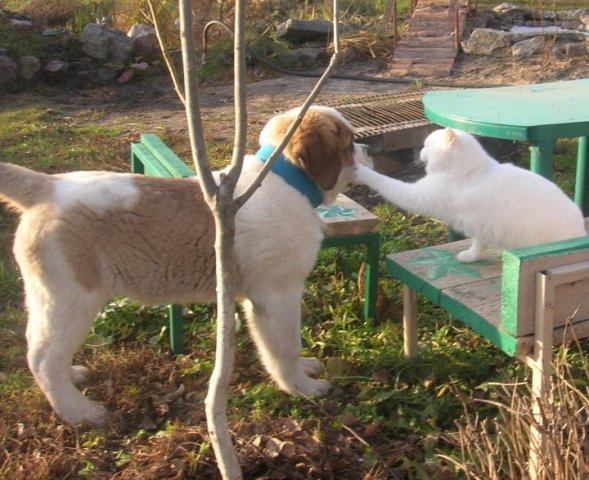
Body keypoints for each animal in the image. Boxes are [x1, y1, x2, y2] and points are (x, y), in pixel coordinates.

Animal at [0, 106, 372, 425]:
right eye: (349, 142)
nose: (368, 150)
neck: (287, 180)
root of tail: (47, 187)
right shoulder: (278, 296)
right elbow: (285, 348)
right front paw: (302, 388)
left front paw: (305, 372)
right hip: (71, 298)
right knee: (43, 358)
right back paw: (80, 412)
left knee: (43, 349)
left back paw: (73, 376)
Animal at [356, 127, 586, 262]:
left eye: (426, 146)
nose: (420, 152)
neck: (470, 171)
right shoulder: (482, 227)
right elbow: (478, 244)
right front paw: (471, 256)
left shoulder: (416, 196)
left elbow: (384, 182)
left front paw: (359, 169)